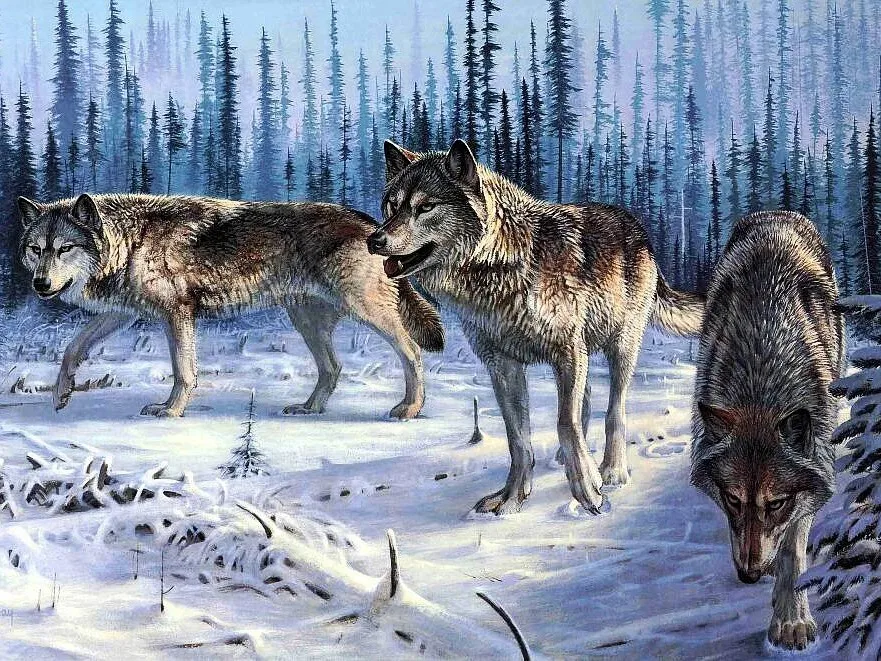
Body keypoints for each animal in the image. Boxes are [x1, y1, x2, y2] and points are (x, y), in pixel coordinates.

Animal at [17, 193, 443, 418]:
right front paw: (60, 395)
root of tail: (372, 224)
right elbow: (72, 349)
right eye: (36, 250)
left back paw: (410, 407)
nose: (40, 284)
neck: (130, 243)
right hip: (306, 321)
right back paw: (309, 408)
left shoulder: (177, 314)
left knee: (413, 351)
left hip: (366, 311)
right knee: (333, 368)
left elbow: (183, 372)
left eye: (64, 249)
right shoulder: (122, 314)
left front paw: (171, 411)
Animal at [368, 139, 704, 515]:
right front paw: (512, 499)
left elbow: (565, 422)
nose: (374, 240)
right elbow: (518, 438)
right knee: (586, 402)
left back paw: (612, 470)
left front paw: (588, 490)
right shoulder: (503, 365)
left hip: (620, 346)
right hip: (583, 353)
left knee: (614, 410)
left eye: (426, 206)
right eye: (392, 205)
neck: (501, 268)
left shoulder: (566, 352)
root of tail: (636, 226)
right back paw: (567, 459)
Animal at [690, 211, 845, 650]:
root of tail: (779, 212)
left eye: (776, 504)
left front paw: (791, 621)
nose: (748, 575)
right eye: (732, 499)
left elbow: (794, 551)